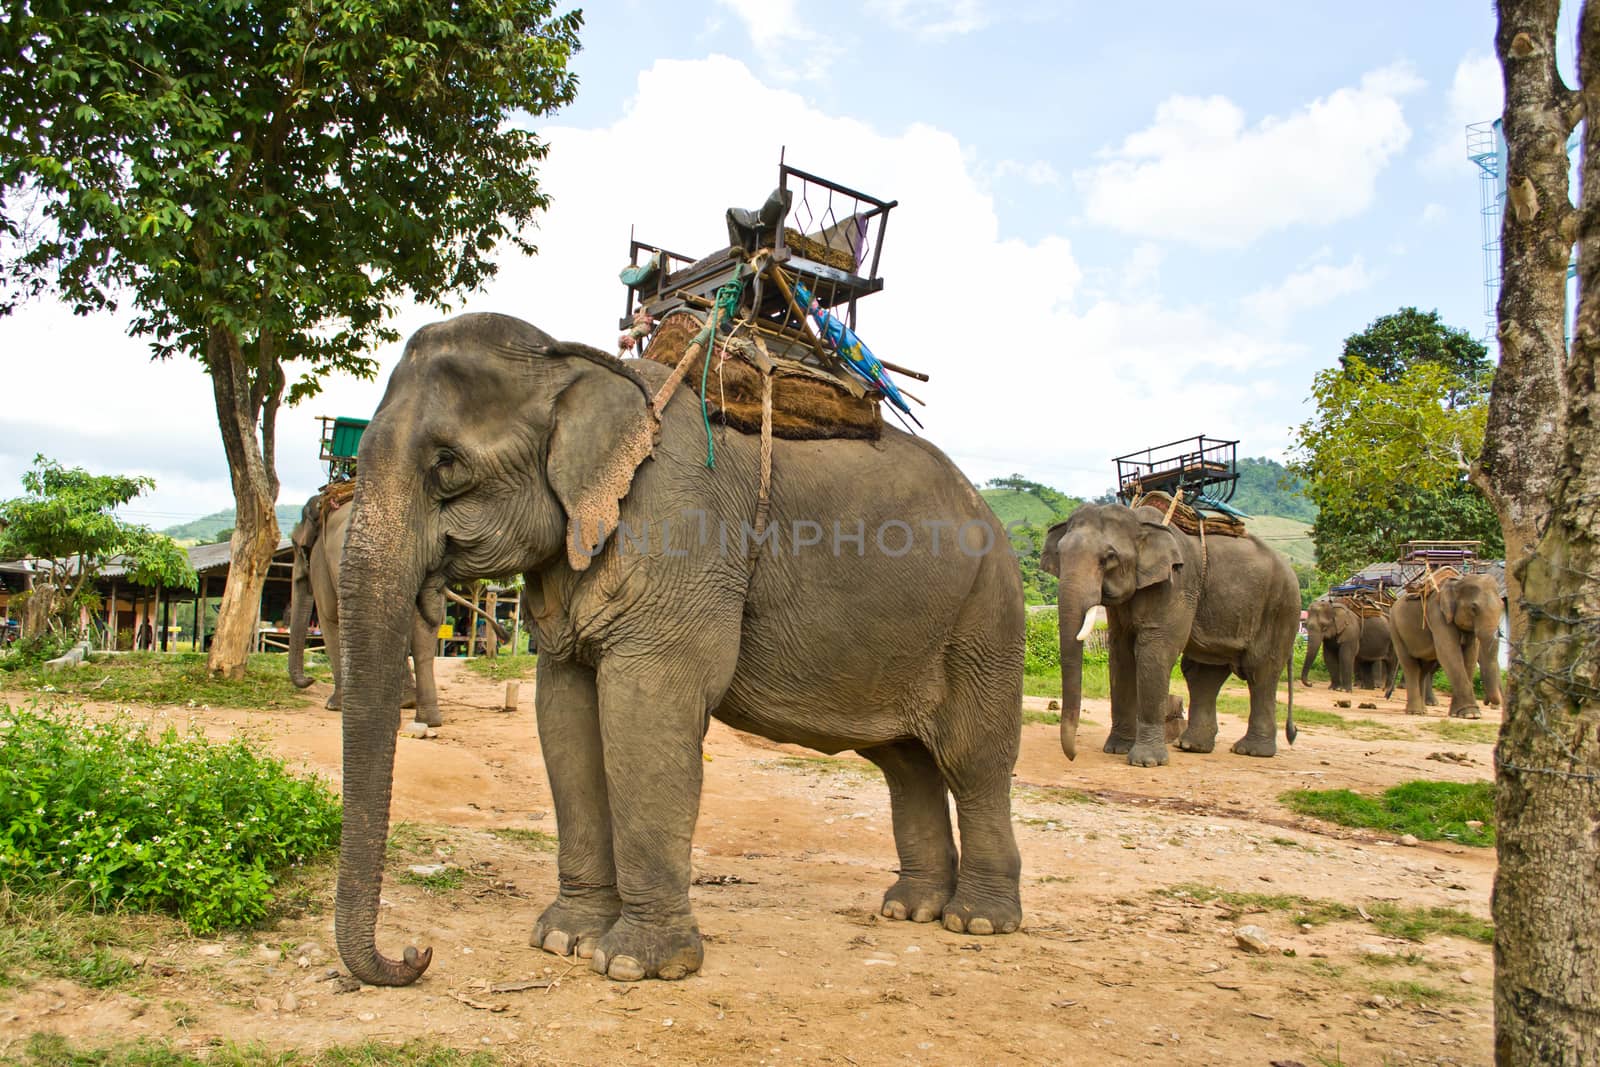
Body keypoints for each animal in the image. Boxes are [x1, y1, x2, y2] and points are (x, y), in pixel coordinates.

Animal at [288, 489, 444, 726]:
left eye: (296, 546)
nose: (310, 678)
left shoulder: (320, 561)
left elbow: (329, 617)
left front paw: (334, 705)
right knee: (421, 627)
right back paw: (419, 711)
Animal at [332, 313, 1024, 991]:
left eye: (447, 464)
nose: (417, 952)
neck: (574, 365)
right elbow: (563, 717)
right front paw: (563, 941)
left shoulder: (681, 529)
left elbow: (645, 715)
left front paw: (636, 965)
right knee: (905, 763)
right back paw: (912, 909)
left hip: (985, 616)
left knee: (971, 758)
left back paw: (977, 922)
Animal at [1043, 502, 1305, 767]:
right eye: (1060, 554)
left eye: (1109, 558)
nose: (1072, 756)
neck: (1140, 522)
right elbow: (1120, 653)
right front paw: (1116, 749)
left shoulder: (1175, 585)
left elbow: (1154, 651)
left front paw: (1145, 762)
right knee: (1203, 673)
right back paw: (1192, 746)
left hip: (1280, 608)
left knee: (1260, 670)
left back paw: (1250, 751)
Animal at [1382, 572, 1504, 723]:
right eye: (1473, 608)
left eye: (1502, 607)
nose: (1489, 703)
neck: (1457, 583)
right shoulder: (1437, 615)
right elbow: (1449, 653)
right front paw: (1472, 714)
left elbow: (1470, 657)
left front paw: (1458, 714)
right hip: (1396, 630)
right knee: (1410, 665)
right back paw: (1415, 712)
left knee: (1424, 668)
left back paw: (1423, 711)